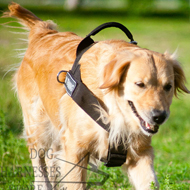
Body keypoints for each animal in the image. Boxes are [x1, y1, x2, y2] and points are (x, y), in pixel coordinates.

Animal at [3, 2, 189, 190]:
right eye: (140, 84)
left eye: (168, 87)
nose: (159, 117)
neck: (113, 109)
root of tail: (44, 32)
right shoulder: (75, 149)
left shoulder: (140, 154)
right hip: (38, 127)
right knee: (39, 164)